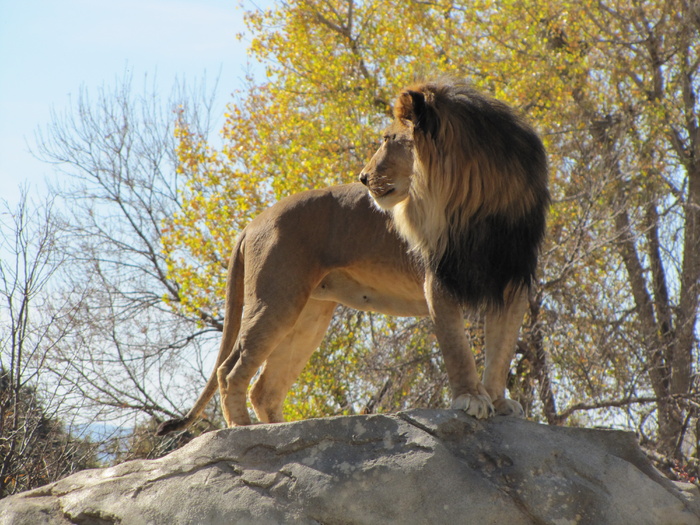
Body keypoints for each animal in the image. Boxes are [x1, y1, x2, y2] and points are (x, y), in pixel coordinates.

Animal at [157, 81, 548, 434]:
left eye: (389, 140)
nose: (362, 177)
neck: (475, 197)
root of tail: (252, 223)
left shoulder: (513, 282)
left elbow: (501, 351)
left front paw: (498, 402)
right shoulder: (437, 280)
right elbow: (458, 350)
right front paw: (472, 398)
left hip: (308, 316)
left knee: (265, 389)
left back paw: (281, 432)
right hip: (275, 300)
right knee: (230, 370)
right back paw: (241, 431)